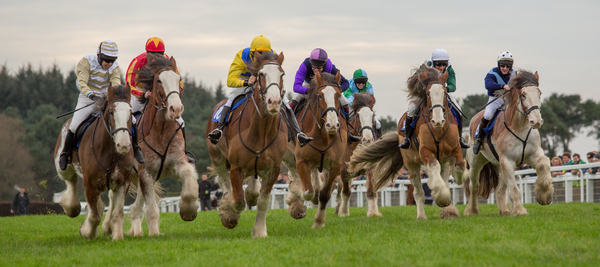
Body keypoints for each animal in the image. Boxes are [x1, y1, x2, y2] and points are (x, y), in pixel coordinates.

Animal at [54, 84, 135, 241]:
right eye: (111, 112)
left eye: (130, 111)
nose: (123, 145)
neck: (108, 151)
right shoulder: (90, 185)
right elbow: (95, 217)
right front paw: (87, 232)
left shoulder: (122, 183)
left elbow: (117, 213)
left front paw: (117, 236)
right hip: (63, 168)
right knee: (71, 181)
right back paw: (71, 207)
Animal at [205, 50, 288, 239]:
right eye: (261, 74)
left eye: (282, 74)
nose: (274, 101)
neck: (262, 130)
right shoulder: (236, 167)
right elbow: (237, 202)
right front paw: (228, 214)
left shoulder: (274, 169)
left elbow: (263, 201)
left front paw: (260, 231)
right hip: (217, 156)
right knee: (223, 180)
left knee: (252, 187)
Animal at [284, 71, 350, 228]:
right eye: (320, 96)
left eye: (338, 95)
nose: (332, 124)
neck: (323, 135)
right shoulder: (301, 161)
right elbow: (308, 191)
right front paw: (296, 195)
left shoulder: (335, 165)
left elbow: (324, 194)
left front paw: (319, 221)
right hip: (287, 155)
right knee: (294, 172)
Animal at [346, 66, 468, 221]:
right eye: (428, 94)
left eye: (445, 92)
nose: (437, 120)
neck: (438, 129)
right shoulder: (425, 151)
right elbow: (433, 168)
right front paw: (440, 196)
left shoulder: (454, 149)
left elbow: (460, 165)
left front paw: (458, 180)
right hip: (411, 164)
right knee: (419, 192)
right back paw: (422, 215)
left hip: (443, 161)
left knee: (444, 177)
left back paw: (448, 210)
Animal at [464, 70, 552, 217]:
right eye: (523, 94)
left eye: (539, 93)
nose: (536, 121)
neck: (519, 127)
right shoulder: (507, 161)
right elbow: (514, 189)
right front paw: (520, 211)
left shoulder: (534, 154)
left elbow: (544, 166)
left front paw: (545, 195)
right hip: (476, 161)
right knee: (474, 186)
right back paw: (472, 210)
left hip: (499, 164)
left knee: (500, 189)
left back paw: (504, 211)